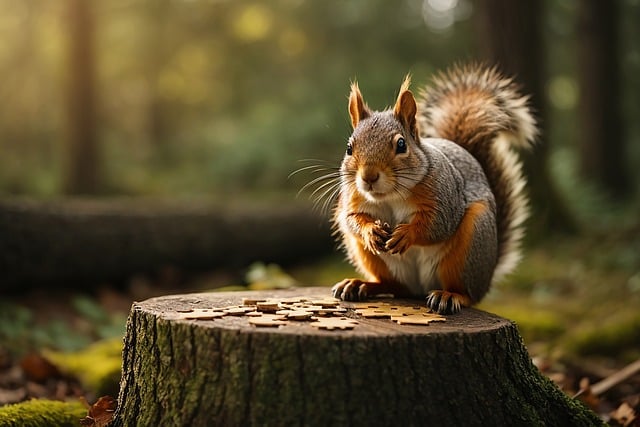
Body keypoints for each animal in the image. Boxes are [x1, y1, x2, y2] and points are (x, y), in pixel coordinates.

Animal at [330, 65, 536, 316]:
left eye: (401, 144)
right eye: (349, 148)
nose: (368, 177)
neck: (390, 196)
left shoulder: (444, 198)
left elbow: (437, 225)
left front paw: (406, 234)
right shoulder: (353, 198)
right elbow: (352, 219)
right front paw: (371, 231)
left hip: (471, 245)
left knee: (466, 292)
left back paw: (450, 296)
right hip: (371, 258)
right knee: (393, 286)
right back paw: (362, 285)